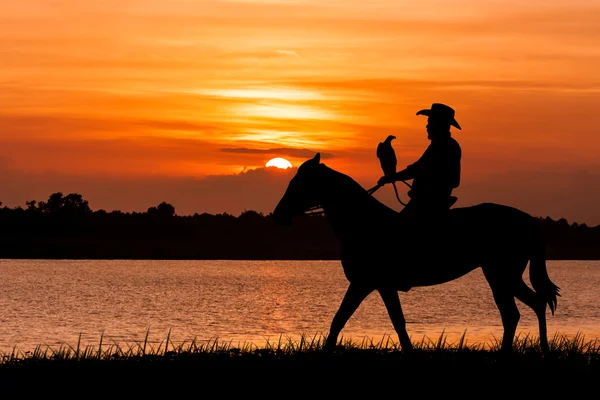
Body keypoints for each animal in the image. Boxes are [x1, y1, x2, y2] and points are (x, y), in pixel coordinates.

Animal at [274, 152, 560, 354]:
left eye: (298, 183)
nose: (278, 214)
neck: (364, 223)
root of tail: (528, 220)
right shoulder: (371, 285)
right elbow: (349, 320)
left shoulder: (372, 284)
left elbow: (382, 321)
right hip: (502, 276)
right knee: (531, 306)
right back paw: (539, 351)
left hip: (501, 276)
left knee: (518, 311)